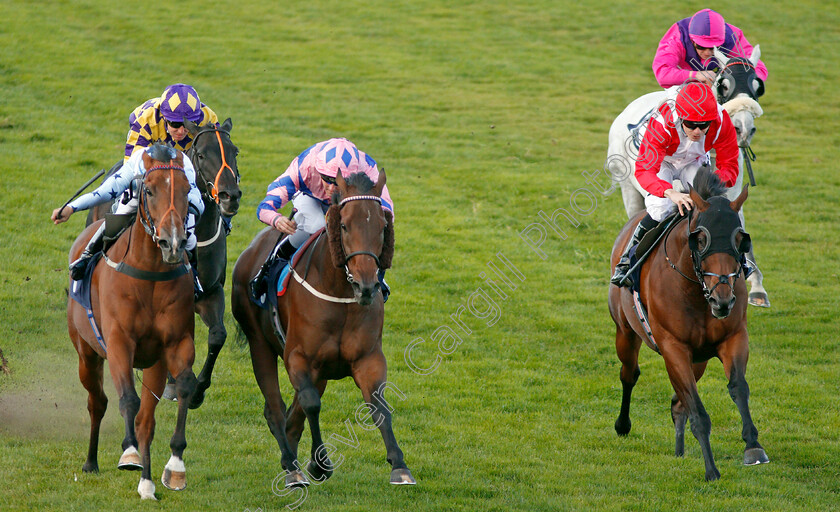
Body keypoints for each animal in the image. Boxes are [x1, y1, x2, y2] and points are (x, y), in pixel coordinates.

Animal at [67, 144, 199, 500]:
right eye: (149, 190)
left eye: (187, 190)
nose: (172, 242)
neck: (151, 272)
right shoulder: (119, 342)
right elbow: (127, 399)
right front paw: (129, 454)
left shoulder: (175, 343)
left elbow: (183, 387)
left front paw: (174, 468)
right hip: (86, 353)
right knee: (98, 402)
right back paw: (91, 462)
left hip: (154, 365)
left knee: (146, 420)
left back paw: (147, 483)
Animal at [231, 170, 416, 486]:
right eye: (343, 225)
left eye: (382, 226)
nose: (367, 286)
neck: (339, 293)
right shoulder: (299, 357)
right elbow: (311, 405)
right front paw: (321, 465)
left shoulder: (368, 358)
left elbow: (379, 406)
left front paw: (399, 465)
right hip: (260, 344)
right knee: (276, 409)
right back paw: (292, 467)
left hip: (319, 371)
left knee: (292, 415)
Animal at [604, 45, 768, 308]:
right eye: (724, 85)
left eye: (757, 86)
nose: (744, 129)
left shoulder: (730, 193)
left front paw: (757, 287)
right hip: (630, 190)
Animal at [612, 168, 768, 480]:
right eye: (701, 239)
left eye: (741, 239)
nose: (723, 299)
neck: (697, 293)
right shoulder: (674, 348)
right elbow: (697, 409)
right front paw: (711, 470)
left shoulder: (733, 337)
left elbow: (738, 387)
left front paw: (753, 447)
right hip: (625, 332)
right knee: (629, 374)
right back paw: (623, 425)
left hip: (699, 359)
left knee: (677, 402)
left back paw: (679, 448)